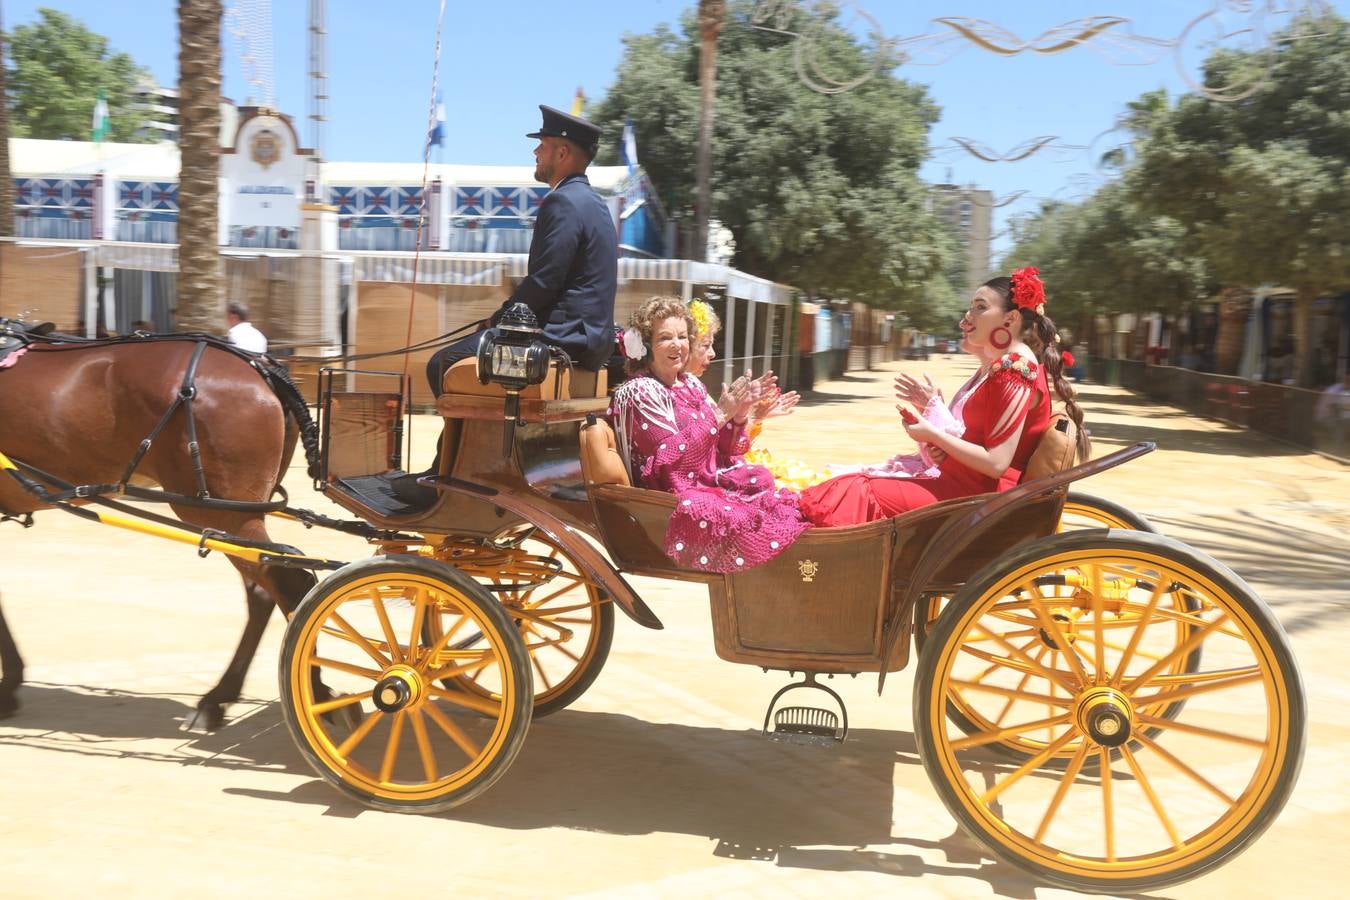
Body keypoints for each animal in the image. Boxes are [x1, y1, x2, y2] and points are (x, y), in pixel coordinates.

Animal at [0, 330, 324, 734]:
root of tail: (259, 366)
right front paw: (11, 681)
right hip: (235, 515)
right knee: (265, 591)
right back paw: (222, 698)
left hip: (219, 510)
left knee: (289, 584)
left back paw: (313, 697)